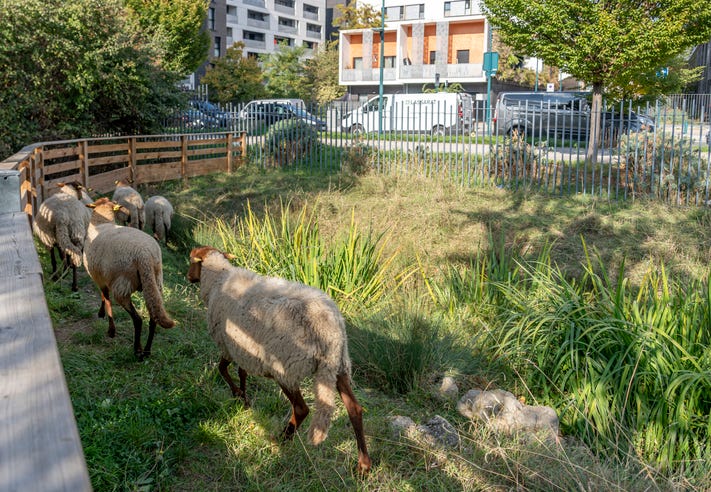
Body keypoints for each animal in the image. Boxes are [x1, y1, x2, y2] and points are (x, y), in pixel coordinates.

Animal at [84, 197, 175, 358]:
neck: (102, 222)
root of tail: (144, 255)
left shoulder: (99, 277)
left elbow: (106, 298)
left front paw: (110, 328)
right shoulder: (102, 277)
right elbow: (104, 297)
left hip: (122, 286)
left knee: (137, 320)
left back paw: (137, 351)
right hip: (154, 282)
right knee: (153, 318)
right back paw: (147, 351)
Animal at [187, 245, 372, 473]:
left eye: (191, 261)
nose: (188, 277)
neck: (218, 279)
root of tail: (330, 329)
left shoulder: (227, 346)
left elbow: (222, 369)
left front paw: (238, 394)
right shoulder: (244, 349)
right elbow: (242, 372)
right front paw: (244, 399)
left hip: (286, 368)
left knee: (301, 409)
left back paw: (282, 438)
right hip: (340, 366)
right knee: (354, 409)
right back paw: (363, 463)